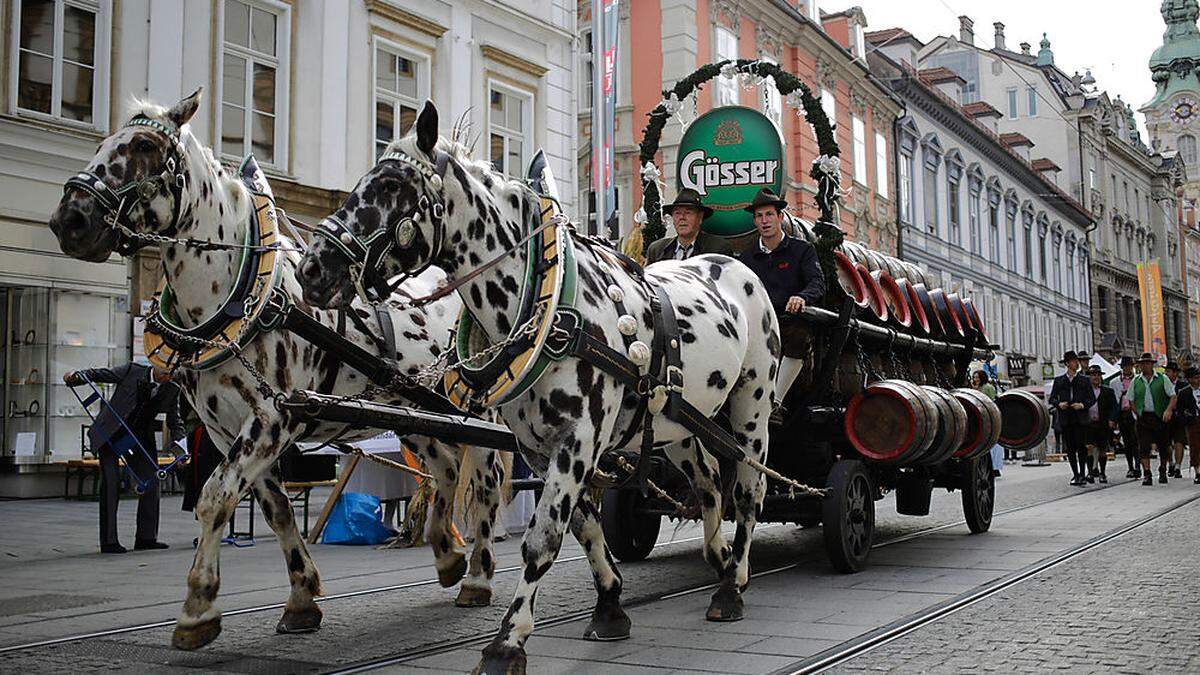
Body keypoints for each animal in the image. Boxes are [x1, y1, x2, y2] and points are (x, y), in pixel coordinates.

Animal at [45, 91, 506, 648]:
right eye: (103, 141)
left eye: (143, 145)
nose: (70, 218)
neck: (239, 295)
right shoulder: (226, 431)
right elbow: (273, 508)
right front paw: (301, 598)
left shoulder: (271, 418)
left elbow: (214, 496)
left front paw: (197, 607)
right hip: (411, 414)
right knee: (445, 467)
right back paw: (446, 552)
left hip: (474, 408)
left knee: (484, 477)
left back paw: (478, 574)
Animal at [295, 100, 772, 672]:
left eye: (391, 184)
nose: (311, 269)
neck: (555, 306)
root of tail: (734, 265)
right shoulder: (542, 449)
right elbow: (583, 525)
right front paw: (610, 604)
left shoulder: (578, 440)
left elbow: (542, 540)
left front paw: (507, 641)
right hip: (674, 423)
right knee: (707, 484)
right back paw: (718, 557)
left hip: (751, 412)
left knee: (747, 489)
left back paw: (734, 584)